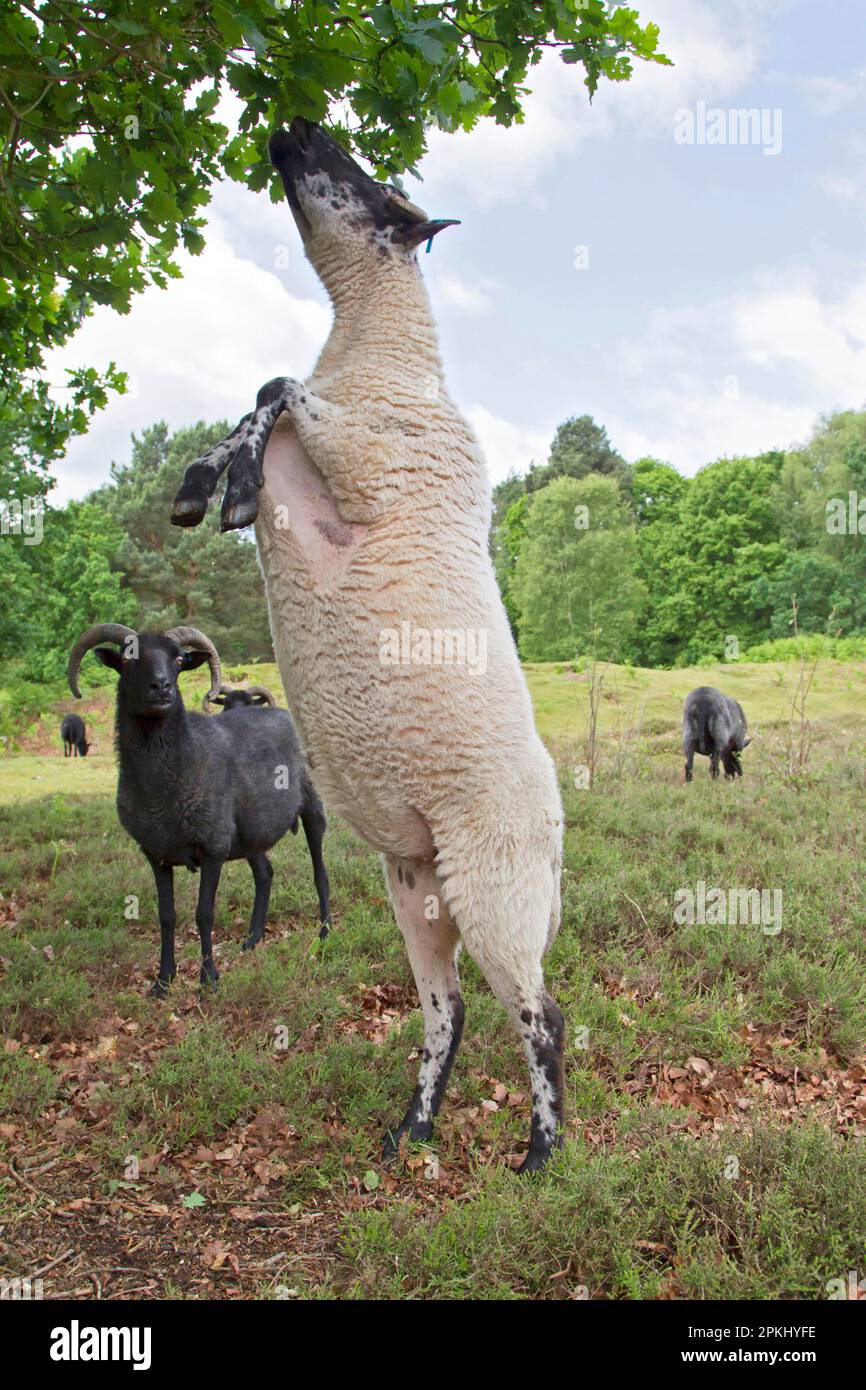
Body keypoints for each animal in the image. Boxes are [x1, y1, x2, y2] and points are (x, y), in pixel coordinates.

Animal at [171, 116, 567, 1173]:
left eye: (365, 176)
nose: (292, 128)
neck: (379, 354)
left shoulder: (372, 462)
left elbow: (278, 385)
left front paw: (222, 489)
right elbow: (261, 395)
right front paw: (206, 483)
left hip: (496, 882)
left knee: (541, 1011)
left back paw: (542, 1154)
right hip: (418, 889)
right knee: (447, 1009)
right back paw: (411, 1129)